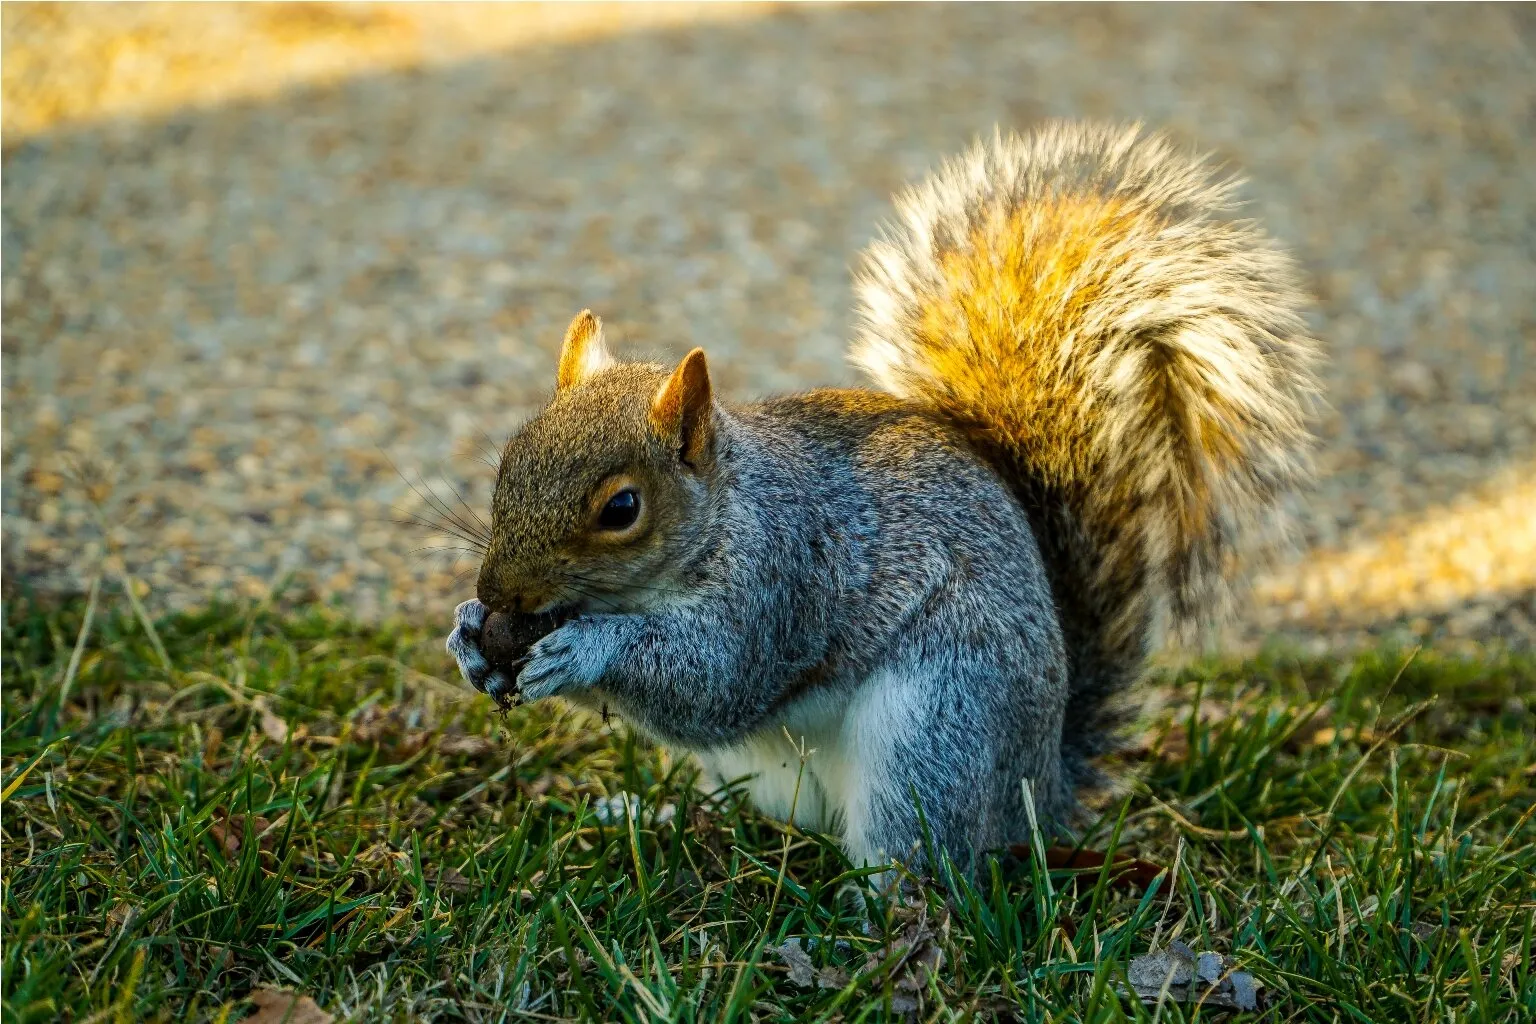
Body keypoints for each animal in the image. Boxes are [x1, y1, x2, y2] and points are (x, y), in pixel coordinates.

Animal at [446, 122, 1318, 874]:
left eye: (621, 510)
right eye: (507, 462)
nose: (498, 593)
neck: (728, 512)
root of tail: (1035, 791)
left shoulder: (784, 580)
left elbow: (713, 682)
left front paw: (582, 650)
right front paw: (467, 636)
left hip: (937, 728)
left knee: (917, 852)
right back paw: (679, 823)